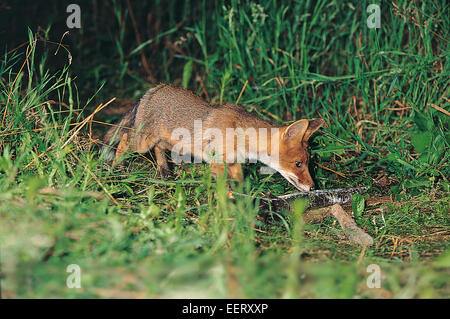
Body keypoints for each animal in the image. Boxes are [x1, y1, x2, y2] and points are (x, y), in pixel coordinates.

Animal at [103, 84, 324, 191]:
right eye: (298, 164)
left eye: (308, 163)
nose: (313, 187)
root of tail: (156, 88)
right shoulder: (217, 162)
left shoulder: (234, 163)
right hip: (142, 142)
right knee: (124, 139)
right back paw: (116, 169)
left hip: (171, 144)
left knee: (158, 149)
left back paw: (165, 173)